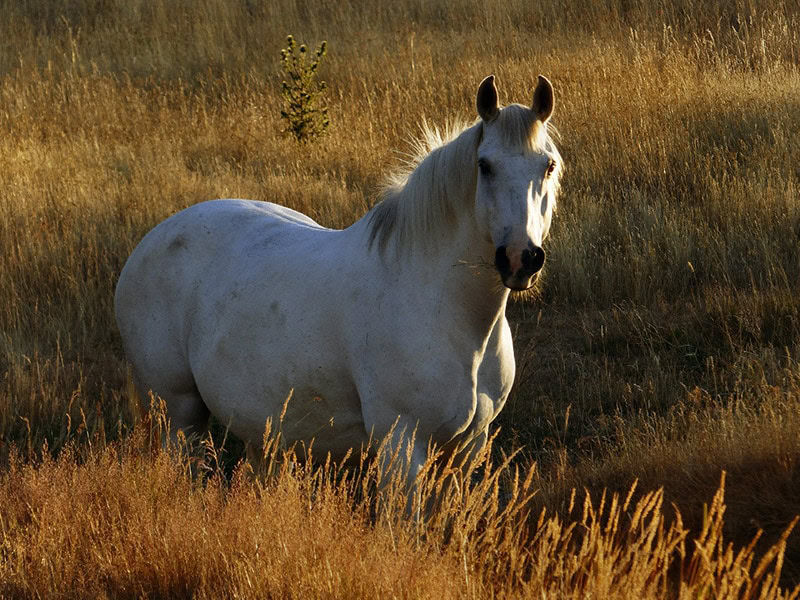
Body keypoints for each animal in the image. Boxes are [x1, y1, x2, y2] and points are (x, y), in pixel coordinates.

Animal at [115, 74, 563, 499]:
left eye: (548, 166)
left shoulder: (468, 448)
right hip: (179, 414)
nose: (521, 258)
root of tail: (151, 241)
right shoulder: (401, 445)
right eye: (485, 165)